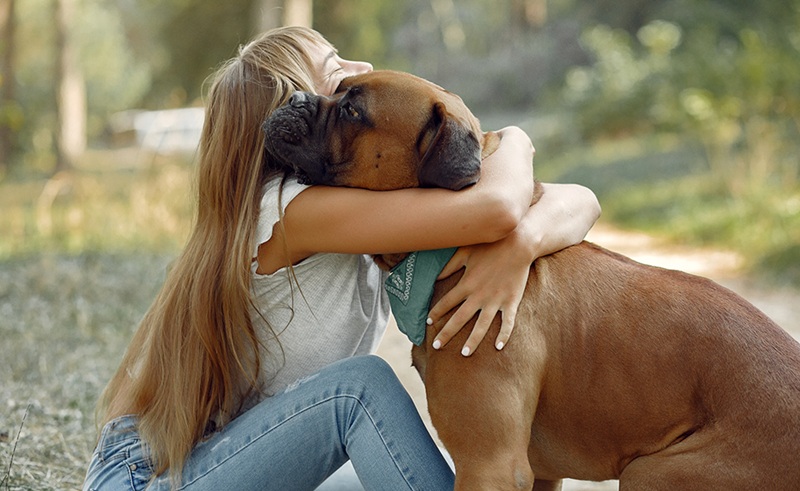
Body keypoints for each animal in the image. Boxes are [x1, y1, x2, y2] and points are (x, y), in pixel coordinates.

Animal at [264, 70, 800, 491]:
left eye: (352, 110)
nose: (291, 98)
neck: (448, 249)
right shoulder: (539, 473)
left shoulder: (489, 467)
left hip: (655, 472)